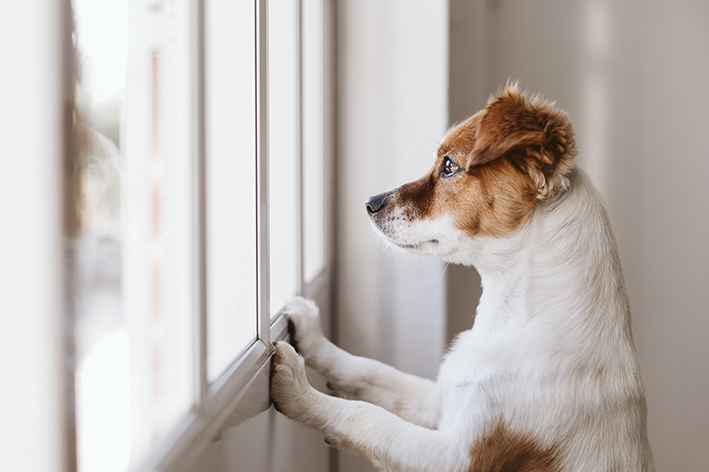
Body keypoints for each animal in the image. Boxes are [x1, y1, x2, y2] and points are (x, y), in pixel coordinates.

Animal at [270, 85, 652, 472]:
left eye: (449, 166)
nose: (369, 203)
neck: (509, 319)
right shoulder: (437, 400)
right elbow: (369, 370)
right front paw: (312, 336)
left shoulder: (455, 457)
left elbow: (367, 417)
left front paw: (298, 390)